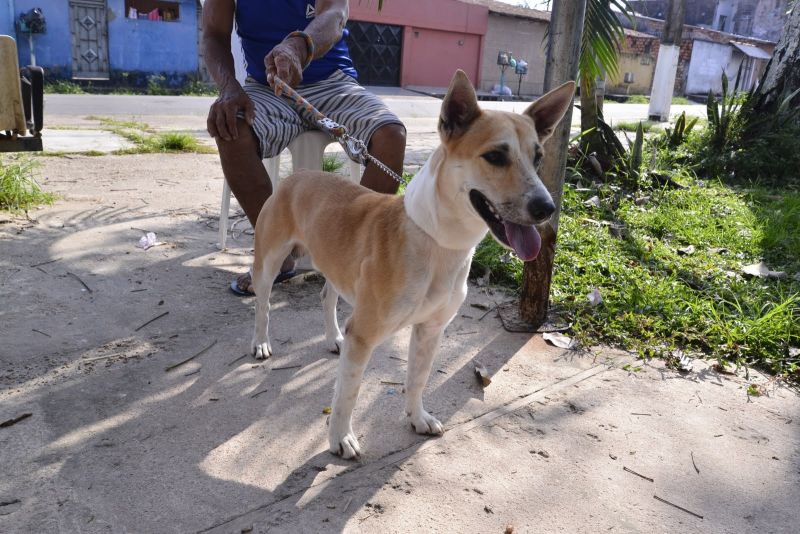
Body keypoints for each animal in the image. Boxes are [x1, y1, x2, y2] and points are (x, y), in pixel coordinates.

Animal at [250, 70, 576, 460]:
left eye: (538, 158)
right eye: (496, 156)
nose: (547, 208)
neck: (436, 240)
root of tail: (301, 174)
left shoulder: (431, 330)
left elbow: (418, 379)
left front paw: (417, 418)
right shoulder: (364, 335)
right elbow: (347, 395)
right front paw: (340, 438)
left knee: (327, 296)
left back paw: (333, 337)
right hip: (269, 261)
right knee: (263, 304)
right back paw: (260, 342)